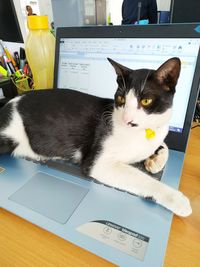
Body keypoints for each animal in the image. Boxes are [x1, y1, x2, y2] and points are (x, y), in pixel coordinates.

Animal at [0, 57, 192, 217]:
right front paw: (177, 200)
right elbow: (143, 179)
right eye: (121, 99)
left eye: (146, 101)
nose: (127, 120)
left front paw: (155, 161)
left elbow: (165, 145)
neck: (142, 133)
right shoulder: (98, 163)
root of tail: (10, 102)